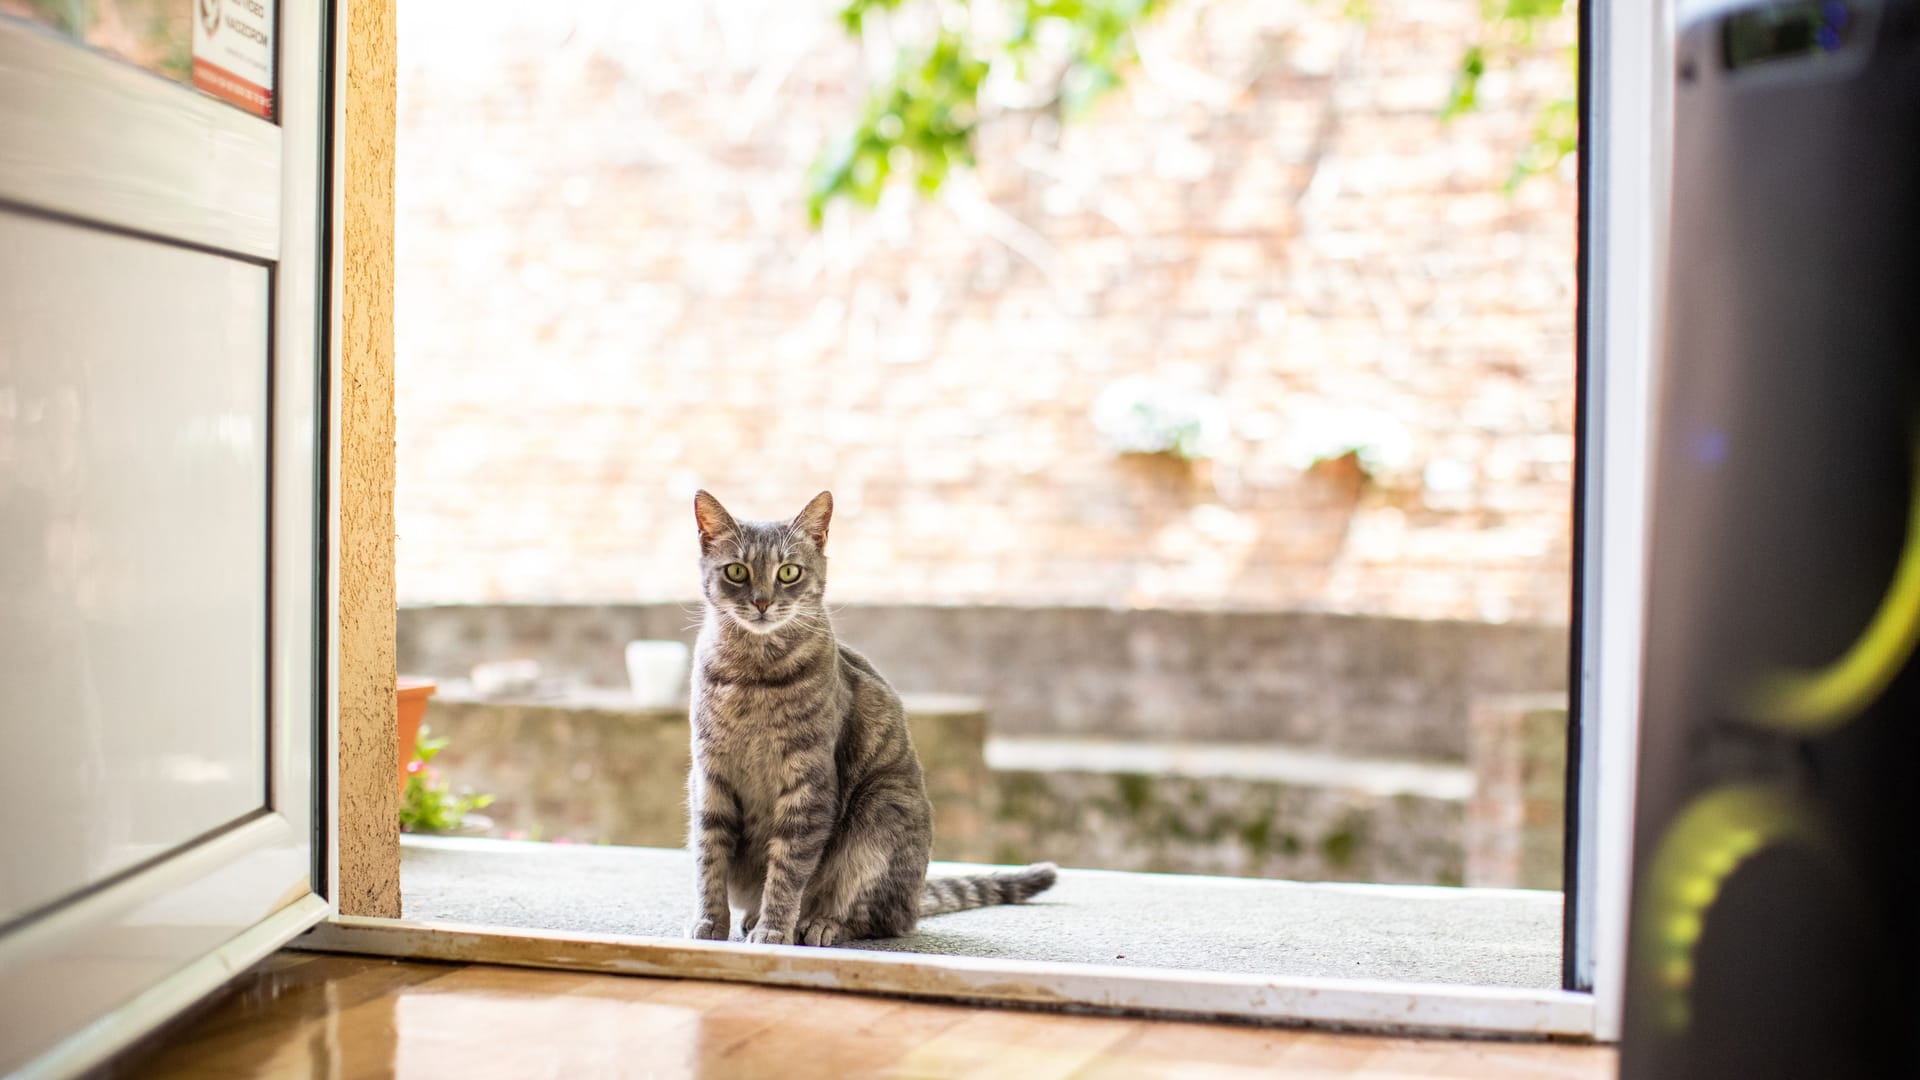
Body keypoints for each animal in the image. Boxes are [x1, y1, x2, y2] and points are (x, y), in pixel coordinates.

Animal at [687, 488, 1059, 941]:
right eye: (737, 571)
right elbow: (709, 861)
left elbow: (788, 868)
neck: (752, 676)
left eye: (789, 572)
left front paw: (774, 928)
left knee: (881, 917)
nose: (761, 602)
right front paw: (710, 923)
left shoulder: (809, 783)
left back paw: (820, 923)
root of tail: (915, 898)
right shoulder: (709, 778)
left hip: (880, 811)